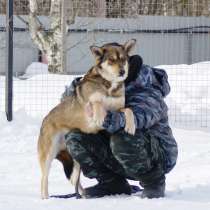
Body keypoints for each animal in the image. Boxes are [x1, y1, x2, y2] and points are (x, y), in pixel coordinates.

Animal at [37, 39, 136, 199]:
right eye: (111, 60)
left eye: (123, 59)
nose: (122, 72)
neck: (109, 85)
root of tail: (45, 120)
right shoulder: (91, 103)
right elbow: (97, 103)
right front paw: (100, 116)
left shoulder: (118, 108)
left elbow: (128, 109)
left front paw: (131, 126)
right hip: (48, 154)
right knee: (44, 178)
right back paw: (46, 199)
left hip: (76, 160)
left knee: (73, 179)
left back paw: (82, 195)